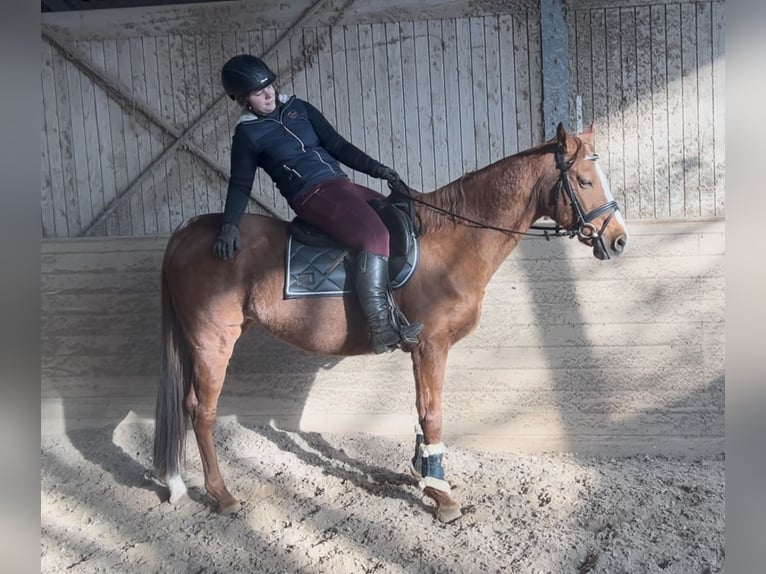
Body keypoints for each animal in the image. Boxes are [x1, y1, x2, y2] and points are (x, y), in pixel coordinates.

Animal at [152, 124, 632, 524]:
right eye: (585, 181)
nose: (618, 240)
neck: (450, 240)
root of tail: (189, 232)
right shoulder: (432, 345)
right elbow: (433, 414)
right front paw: (442, 497)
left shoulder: (422, 351)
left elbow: (421, 411)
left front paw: (424, 474)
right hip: (213, 342)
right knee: (201, 411)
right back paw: (222, 494)